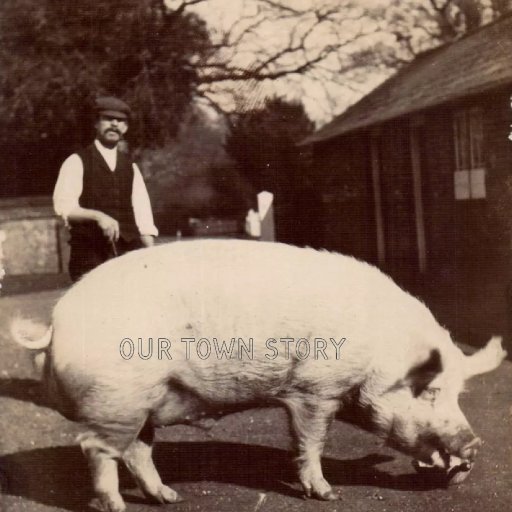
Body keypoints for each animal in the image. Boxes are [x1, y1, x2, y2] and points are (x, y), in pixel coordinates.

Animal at [10, 240, 506, 512]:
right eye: (429, 391)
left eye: (459, 393)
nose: (474, 442)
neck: (378, 357)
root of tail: (56, 321)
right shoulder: (313, 389)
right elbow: (310, 441)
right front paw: (327, 494)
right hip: (115, 400)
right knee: (95, 448)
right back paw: (115, 506)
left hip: (142, 405)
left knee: (136, 451)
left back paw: (169, 498)